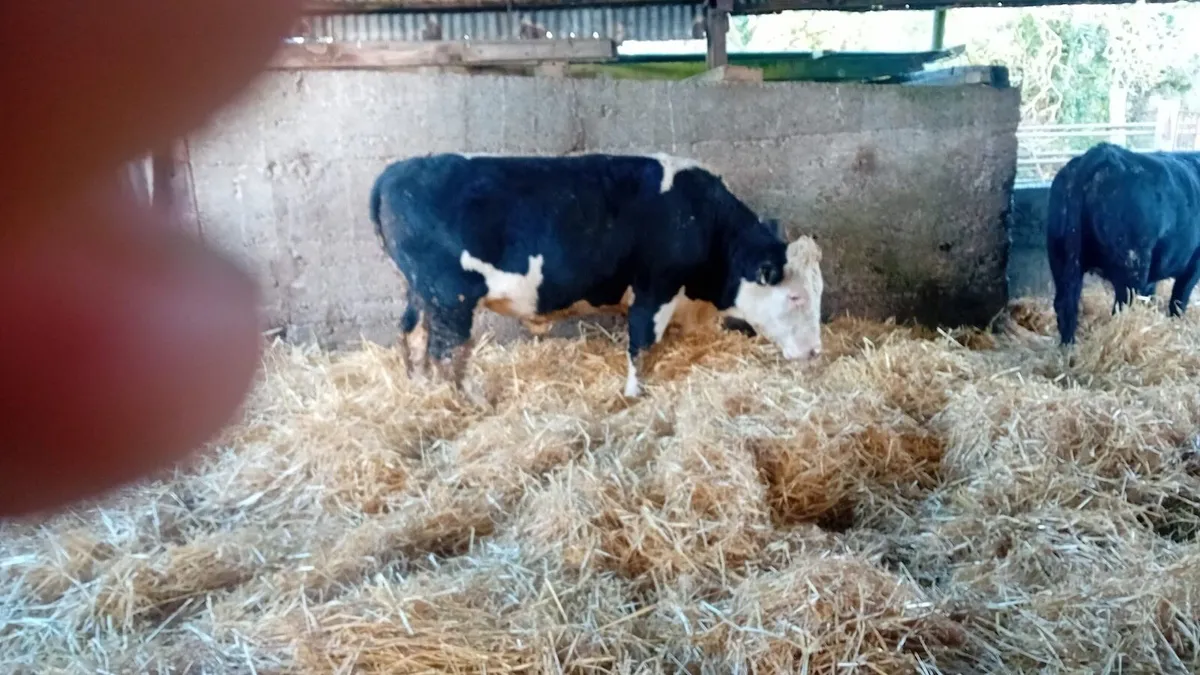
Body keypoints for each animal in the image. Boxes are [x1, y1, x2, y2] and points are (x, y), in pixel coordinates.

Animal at [369, 152, 825, 398]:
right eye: (795, 296)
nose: (816, 352)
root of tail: (395, 171)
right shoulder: (654, 289)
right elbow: (642, 344)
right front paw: (635, 392)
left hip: (419, 292)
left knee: (412, 334)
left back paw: (420, 387)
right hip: (450, 297)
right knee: (446, 351)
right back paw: (467, 401)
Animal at [1047, 142, 1200, 345]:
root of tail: (1102, 152)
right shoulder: (1194, 265)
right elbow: (1179, 300)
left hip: (1060, 258)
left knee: (1065, 304)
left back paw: (1068, 349)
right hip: (1132, 264)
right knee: (1121, 308)